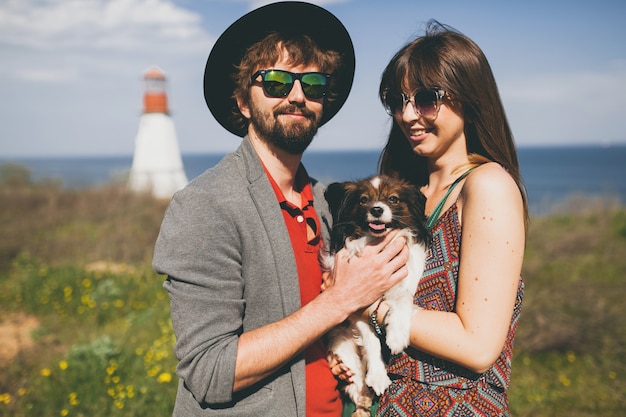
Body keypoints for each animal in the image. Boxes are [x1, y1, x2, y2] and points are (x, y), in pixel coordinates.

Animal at [320, 176, 426, 416]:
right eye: (364, 200)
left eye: (393, 199)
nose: (377, 209)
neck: (377, 242)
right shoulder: (358, 311)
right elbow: (372, 342)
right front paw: (378, 376)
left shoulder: (404, 283)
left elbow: (403, 300)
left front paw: (396, 335)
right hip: (344, 348)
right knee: (357, 381)